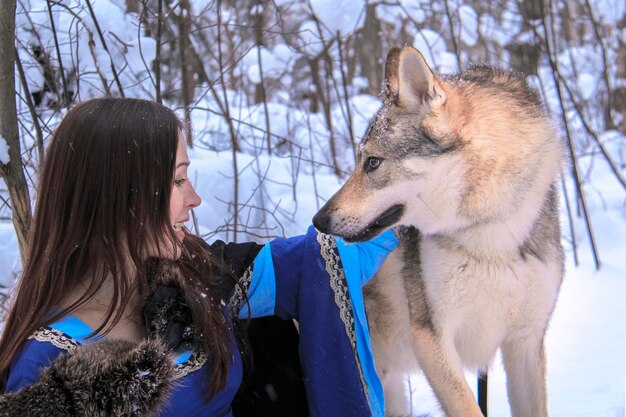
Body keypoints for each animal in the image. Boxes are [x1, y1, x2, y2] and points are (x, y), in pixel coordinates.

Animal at [314, 45, 564, 416]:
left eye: (372, 162)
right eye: (360, 160)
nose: (318, 221)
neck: (488, 231)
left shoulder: (526, 341)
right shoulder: (431, 337)